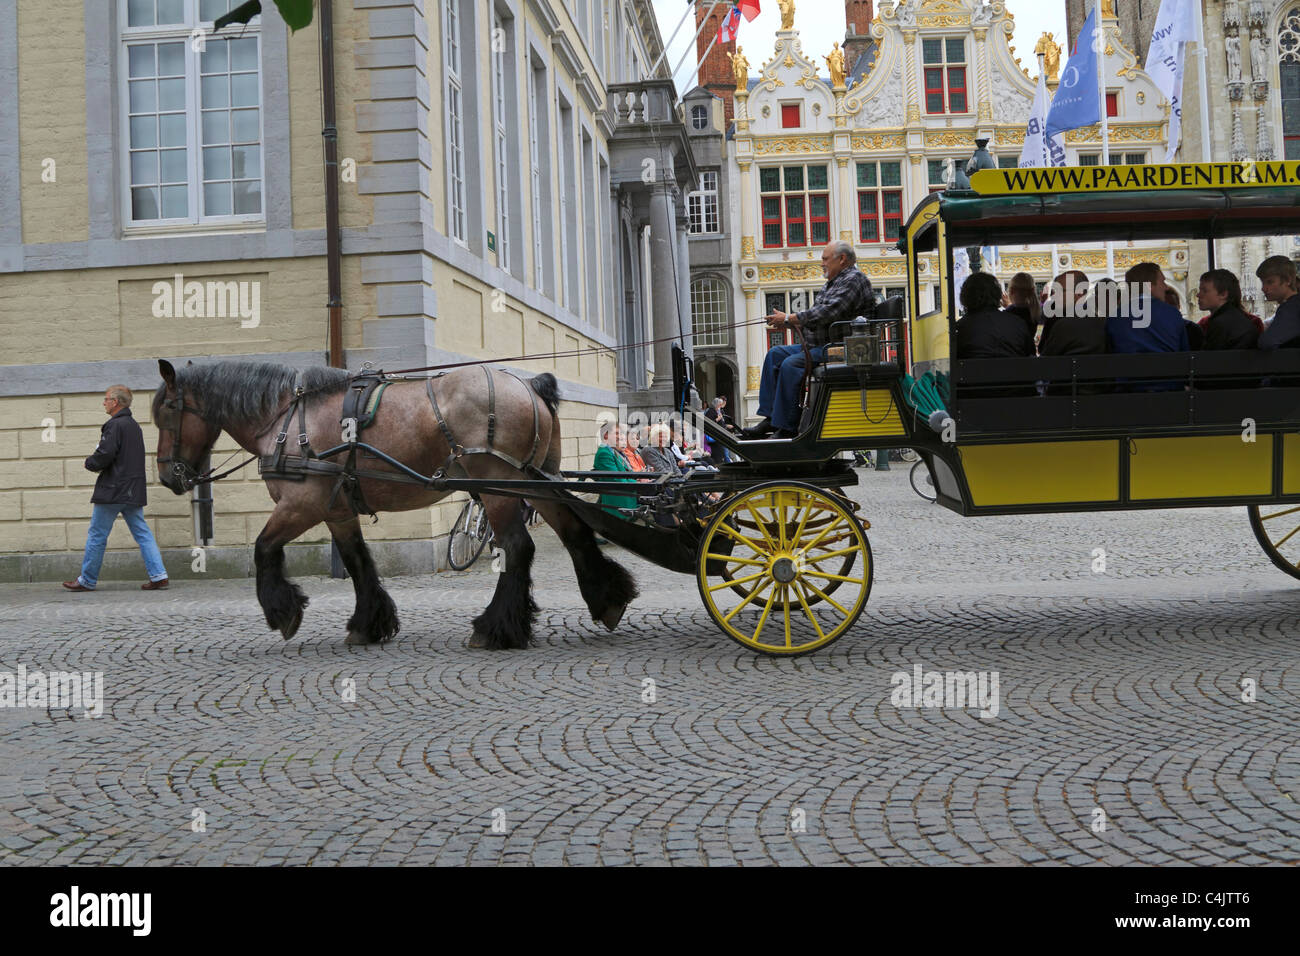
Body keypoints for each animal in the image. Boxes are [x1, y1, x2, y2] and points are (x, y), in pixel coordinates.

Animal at [152, 358, 639, 650]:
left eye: (166, 413)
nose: (168, 476)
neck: (288, 421)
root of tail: (530, 384)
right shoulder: (337, 511)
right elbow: (358, 562)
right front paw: (369, 623)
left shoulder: (301, 505)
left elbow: (263, 548)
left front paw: (283, 610)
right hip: (538, 481)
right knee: (574, 532)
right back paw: (607, 599)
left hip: (498, 488)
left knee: (519, 548)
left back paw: (495, 628)